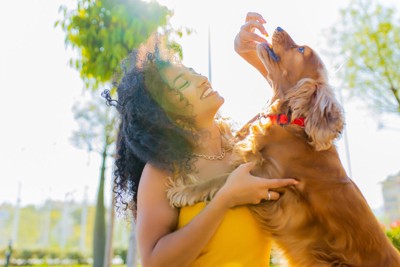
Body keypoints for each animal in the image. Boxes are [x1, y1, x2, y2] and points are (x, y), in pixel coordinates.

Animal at [166, 27, 400, 267]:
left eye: (301, 49)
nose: (278, 28)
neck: (291, 123)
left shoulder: (270, 178)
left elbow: (222, 180)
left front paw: (184, 191)